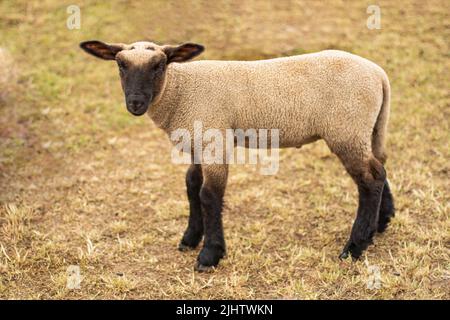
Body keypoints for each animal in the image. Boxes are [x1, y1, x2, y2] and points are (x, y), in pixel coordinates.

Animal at [80, 39, 394, 270]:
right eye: (120, 64)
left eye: (159, 65)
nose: (135, 103)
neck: (180, 90)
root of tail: (379, 75)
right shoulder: (198, 141)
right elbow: (191, 185)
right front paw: (191, 238)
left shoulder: (214, 139)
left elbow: (209, 195)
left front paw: (210, 255)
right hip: (368, 129)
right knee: (380, 168)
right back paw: (380, 224)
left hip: (345, 130)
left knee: (369, 180)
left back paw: (354, 247)